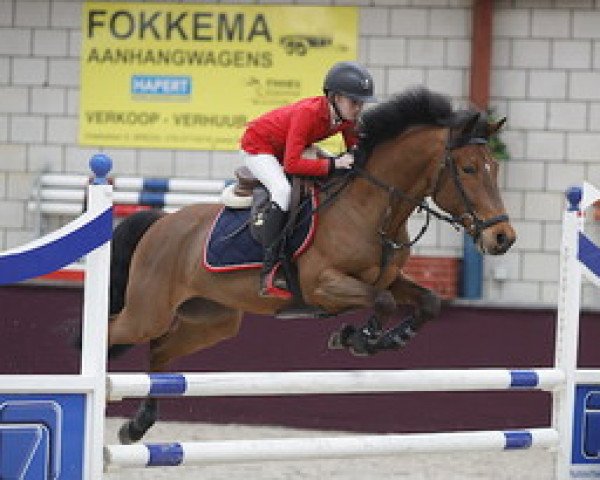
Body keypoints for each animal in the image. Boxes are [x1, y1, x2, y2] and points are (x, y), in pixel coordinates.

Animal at [106, 88, 516, 444]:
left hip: (212, 319)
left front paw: (382, 338)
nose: (503, 238)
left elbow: (425, 301)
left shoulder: (389, 277)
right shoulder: (323, 285)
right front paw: (359, 339)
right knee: (116, 331)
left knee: (161, 350)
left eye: (494, 168)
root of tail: (160, 224)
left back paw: (138, 425)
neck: (372, 208)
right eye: (467, 169)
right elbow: (381, 301)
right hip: (148, 312)